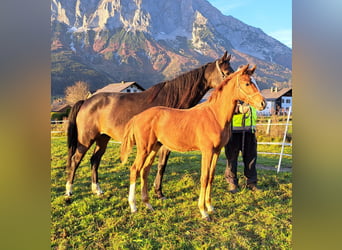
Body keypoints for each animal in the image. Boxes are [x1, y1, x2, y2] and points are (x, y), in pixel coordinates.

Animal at [65, 50, 234, 196]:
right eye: (227, 73)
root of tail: (86, 101)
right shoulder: (164, 144)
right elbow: (161, 165)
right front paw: (158, 192)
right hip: (86, 139)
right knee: (75, 160)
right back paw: (69, 192)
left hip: (102, 138)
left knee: (95, 160)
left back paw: (97, 189)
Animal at [121, 65, 268, 221]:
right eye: (247, 83)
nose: (263, 103)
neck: (214, 115)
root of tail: (137, 117)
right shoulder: (207, 151)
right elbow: (204, 178)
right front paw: (203, 212)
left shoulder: (216, 152)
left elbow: (210, 177)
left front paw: (210, 207)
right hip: (144, 149)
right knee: (134, 169)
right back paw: (133, 206)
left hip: (154, 147)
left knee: (144, 170)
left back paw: (148, 204)